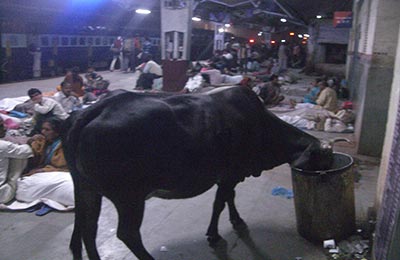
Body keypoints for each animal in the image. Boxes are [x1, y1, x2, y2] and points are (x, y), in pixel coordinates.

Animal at [63, 86, 334, 258]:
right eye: (324, 161)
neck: (261, 125)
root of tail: (92, 110)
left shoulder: (230, 176)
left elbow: (229, 199)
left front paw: (237, 221)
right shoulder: (229, 174)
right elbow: (220, 203)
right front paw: (214, 234)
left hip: (86, 189)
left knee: (86, 229)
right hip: (129, 197)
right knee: (126, 234)